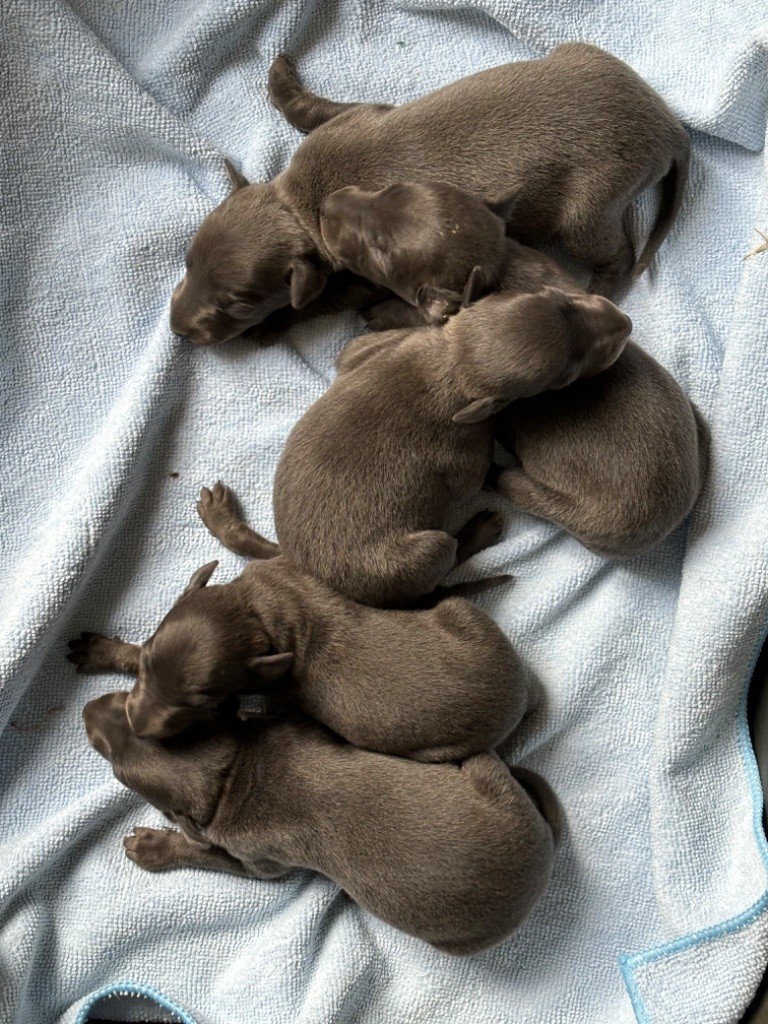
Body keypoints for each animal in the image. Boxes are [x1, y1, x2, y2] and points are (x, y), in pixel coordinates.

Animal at [67, 479, 528, 753]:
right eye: (147, 666)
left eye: (204, 702)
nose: (139, 726)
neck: (257, 612)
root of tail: (522, 689)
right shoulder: (289, 566)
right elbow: (250, 543)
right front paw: (99, 651)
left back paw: (477, 530)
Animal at [83, 692, 561, 954]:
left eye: (116, 769)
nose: (86, 709)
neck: (231, 773)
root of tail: (545, 859)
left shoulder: (258, 862)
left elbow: (208, 854)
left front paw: (151, 846)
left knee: (485, 756)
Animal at [169, 44, 692, 342]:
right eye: (187, 261)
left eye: (240, 305)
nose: (176, 328)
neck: (301, 204)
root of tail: (670, 127)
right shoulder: (353, 116)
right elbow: (314, 110)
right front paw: (281, 79)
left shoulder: (359, 277)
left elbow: (319, 301)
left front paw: (273, 326)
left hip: (587, 211)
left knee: (617, 255)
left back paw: (596, 289)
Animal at [270, 286, 630, 606]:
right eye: (567, 374)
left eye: (556, 295)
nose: (625, 322)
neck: (453, 362)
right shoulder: (465, 455)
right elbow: (471, 478)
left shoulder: (375, 348)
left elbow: (351, 351)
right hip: (427, 551)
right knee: (449, 557)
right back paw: (480, 531)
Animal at [317, 179, 708, 557]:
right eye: (391, 188)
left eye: (378, 253)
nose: (327, 203)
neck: (497, 265)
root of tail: (664, 524)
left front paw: (382, 311)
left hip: (556, 501)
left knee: (513, 485)